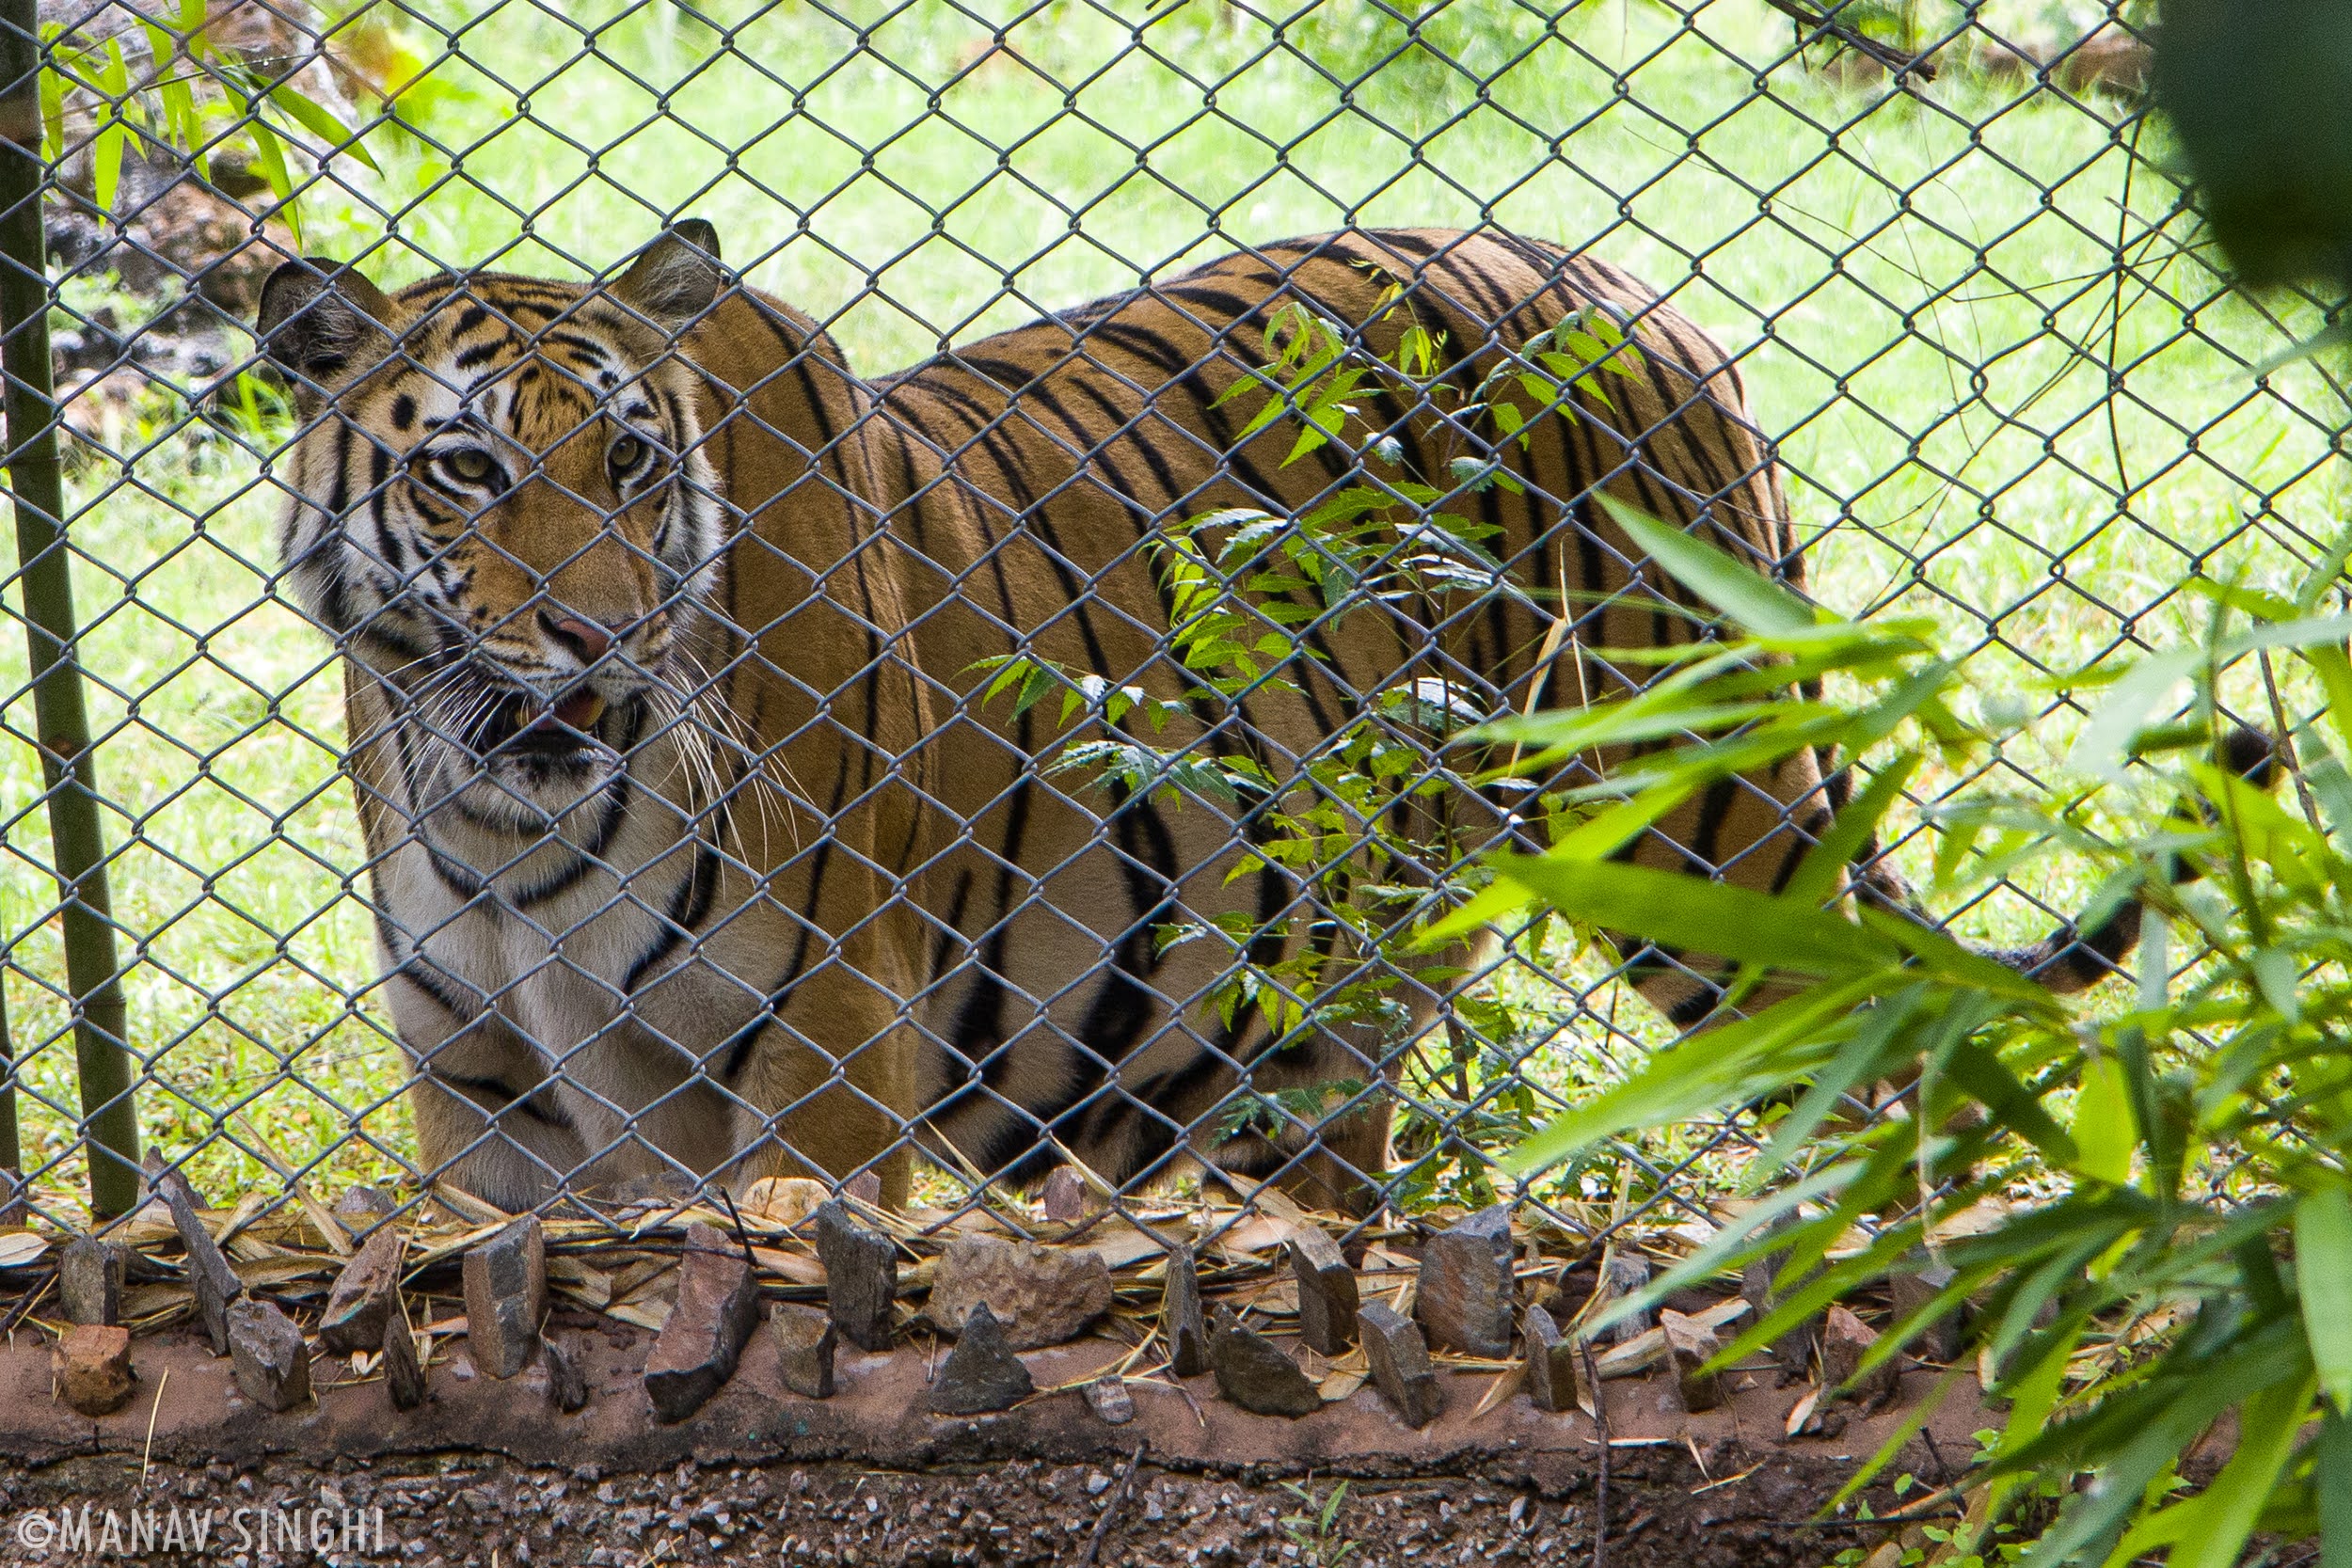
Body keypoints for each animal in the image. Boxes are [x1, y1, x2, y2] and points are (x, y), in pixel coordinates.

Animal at [247, 227, 2154, 1222]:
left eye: (634, 464)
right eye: (468, 468)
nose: (600, 629)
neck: (511, 820)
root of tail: (1646, 298)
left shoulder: (829, 1066)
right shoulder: (490, 1105)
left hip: (1712, 827)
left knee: (1883, 1059)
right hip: (1342, 971)